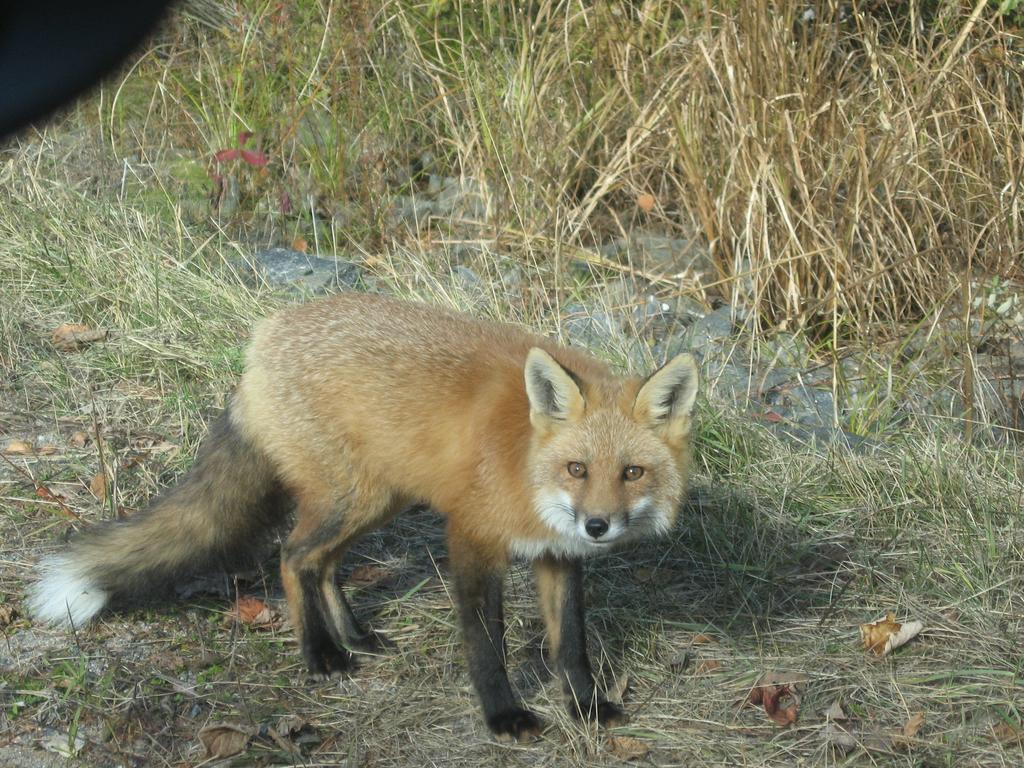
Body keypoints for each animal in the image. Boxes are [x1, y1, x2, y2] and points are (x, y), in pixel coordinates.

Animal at [29, 290, 696, 741]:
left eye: (631, 473)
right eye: (577, 469)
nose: (597, 526)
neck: (524, 463)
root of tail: (262, 341)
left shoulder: (557, 554)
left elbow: (571, 644)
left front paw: (587, 707)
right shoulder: (472, 538)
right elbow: (486, 644)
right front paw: (503, 715)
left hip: (376, 500)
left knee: (322, 566)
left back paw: (353, 636)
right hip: (349, 499)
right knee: (291, 556)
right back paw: (321, 654)